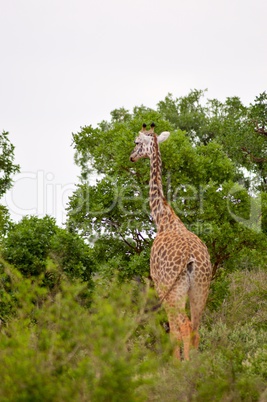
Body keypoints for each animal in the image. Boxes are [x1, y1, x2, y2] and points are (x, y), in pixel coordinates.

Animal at [130, 123, 214, 362]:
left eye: (136, 142)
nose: (131, 157)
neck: (165, 220)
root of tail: (192, 260)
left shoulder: (160, 286)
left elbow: (173, 332)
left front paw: (175, 364)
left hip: (175, 290)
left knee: (184, 327)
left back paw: (185, 367)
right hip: (201, 289)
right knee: (196, 329)